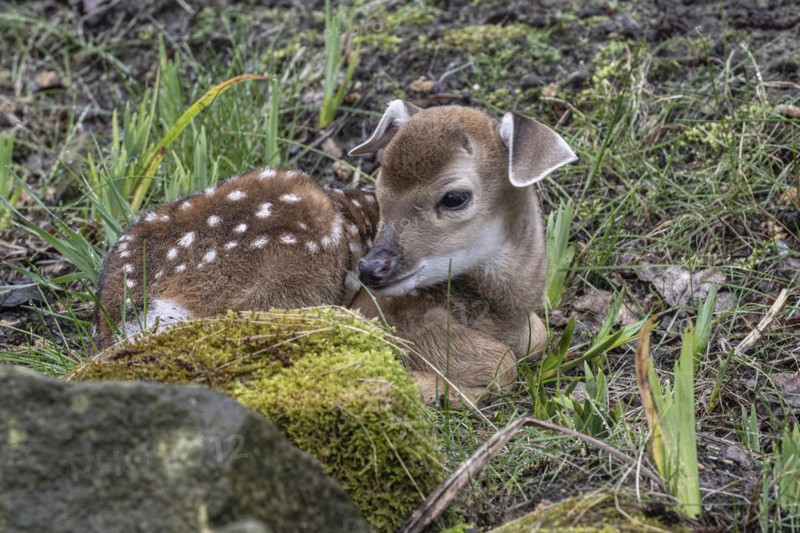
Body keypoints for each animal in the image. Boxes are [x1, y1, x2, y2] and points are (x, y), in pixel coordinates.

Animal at [93, 100, 577, 406]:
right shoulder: (384, 312)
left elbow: (537, 339)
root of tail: (125, 307)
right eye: (380, 191)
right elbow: (503, 365)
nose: (370, 266)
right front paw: (440, 388)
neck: (501, 308)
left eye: (455, 197)